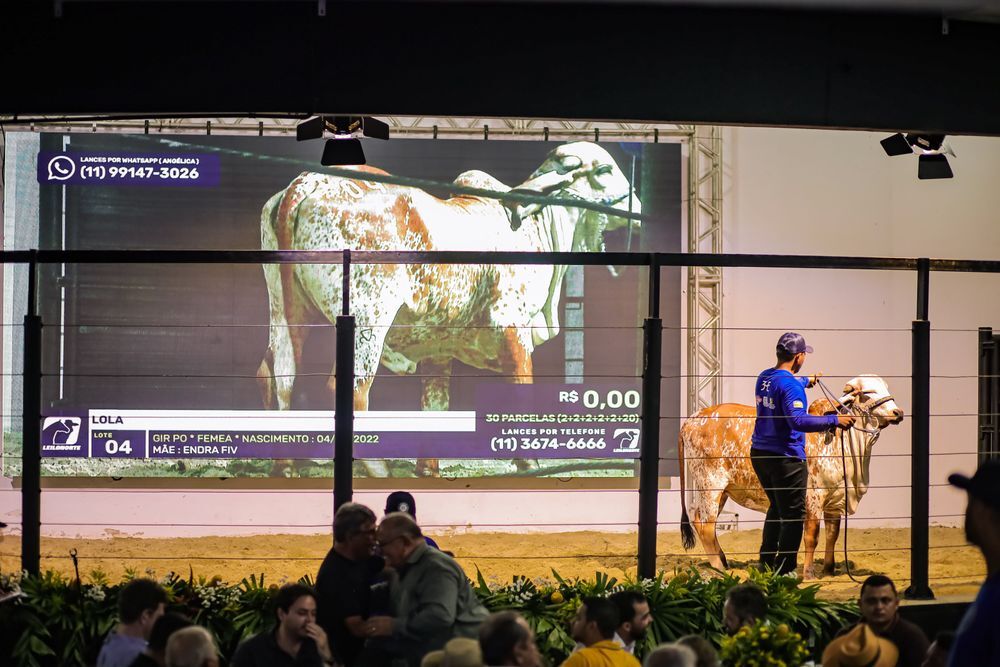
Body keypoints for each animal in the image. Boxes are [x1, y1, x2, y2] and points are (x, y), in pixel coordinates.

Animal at [680, 376, 908, 580]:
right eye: (868, 393)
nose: (898, 413)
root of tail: (693, 419)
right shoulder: (814, 497)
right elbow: (812, 536)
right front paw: (808, 574)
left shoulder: (834, 500)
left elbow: (832, 534)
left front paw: (829, 570)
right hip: (711, 485)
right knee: (706, 525)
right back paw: (720, 569)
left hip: (723, 491)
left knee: (701, 521)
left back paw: (723, 560)